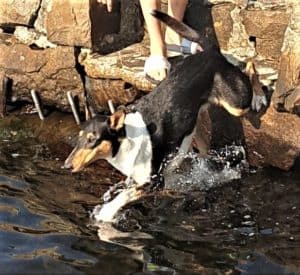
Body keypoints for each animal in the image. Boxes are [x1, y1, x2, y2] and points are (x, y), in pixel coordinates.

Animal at [64, 10, 266, 223]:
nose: (66, 166)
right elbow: (125, 189)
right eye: (79, 138)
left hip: (236, 103)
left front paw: (105, 213)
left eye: (92, 140)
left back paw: (259, 96)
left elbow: (124, 195)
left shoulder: (155, 181)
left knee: (250, 65)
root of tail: (210, 51)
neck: (127, 139)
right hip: (196, 121)